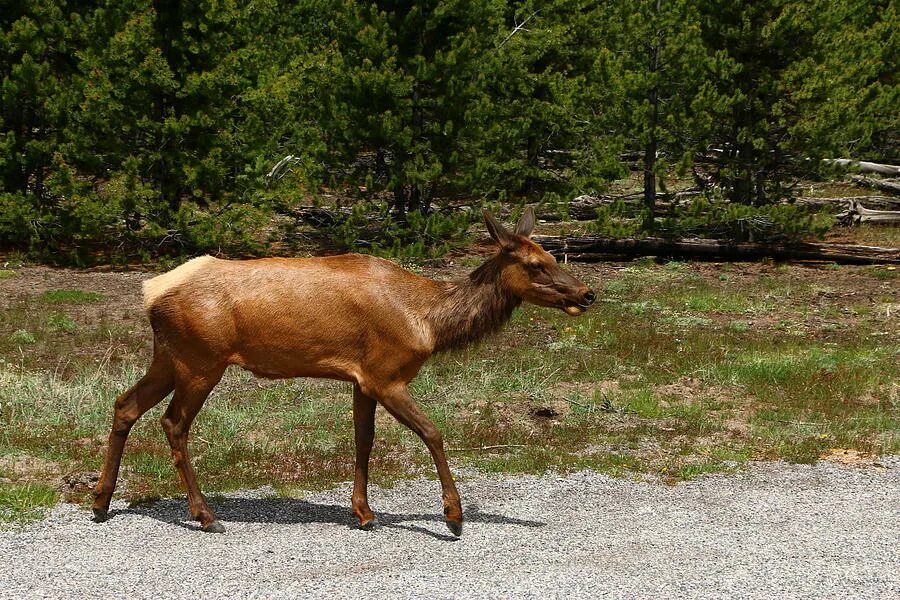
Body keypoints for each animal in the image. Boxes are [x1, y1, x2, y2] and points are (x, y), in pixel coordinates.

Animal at [91, 209, 596, 536]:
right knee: (173, 422)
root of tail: (150, 290)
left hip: (168, 356)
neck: (428, 322)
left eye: (555, 256)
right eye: (535, 263)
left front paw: (364, 512)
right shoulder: (387, 374)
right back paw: (206, 515)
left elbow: (363, 441)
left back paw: (100, 502)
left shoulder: (363, 378)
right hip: (201, 361)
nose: (587, 294)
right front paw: (453, 517)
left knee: (125, 404)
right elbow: (432, 432)